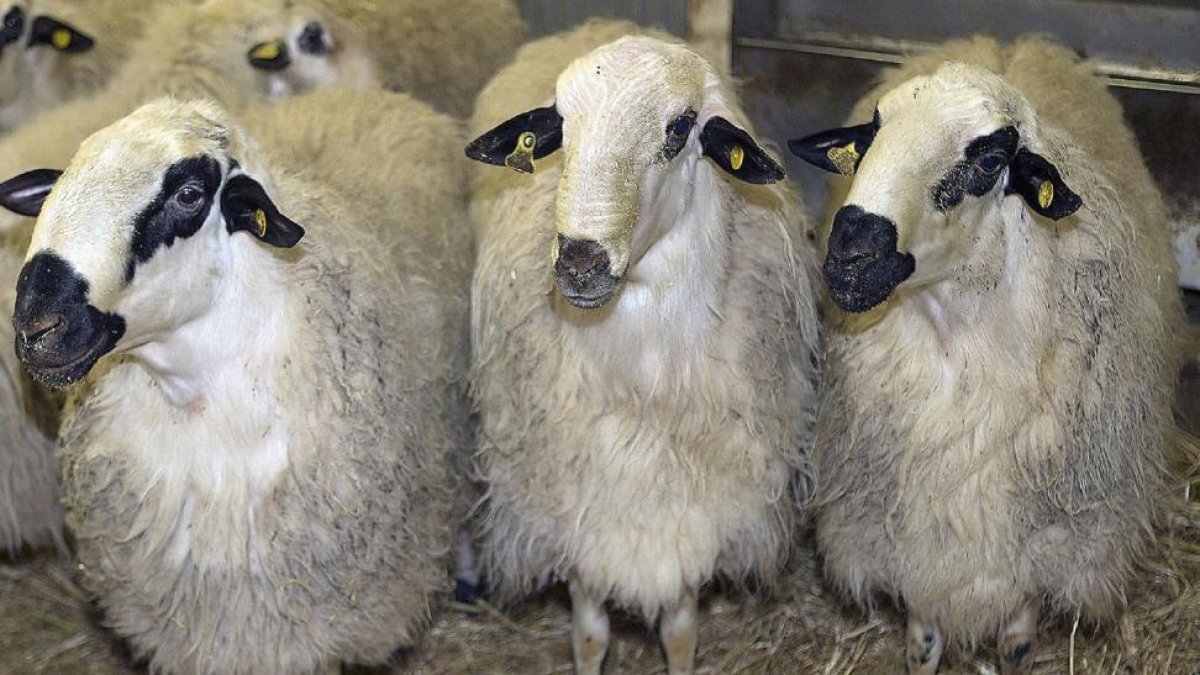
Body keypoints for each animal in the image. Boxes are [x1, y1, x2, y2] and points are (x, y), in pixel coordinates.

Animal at [465, 21, 821, 674]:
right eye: (557, 128)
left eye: (680, 128)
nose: (580, 260)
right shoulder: (580, 507)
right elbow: (589, 634)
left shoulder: (693, 510)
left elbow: (679, 633)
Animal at [787, 36, 1186, 674]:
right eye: (870, 136)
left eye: (990, 161)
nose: (850, 252)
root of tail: (1008, 46)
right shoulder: (919, 546)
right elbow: (923, 644)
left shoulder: (1031, 551)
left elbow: (1017, 646)